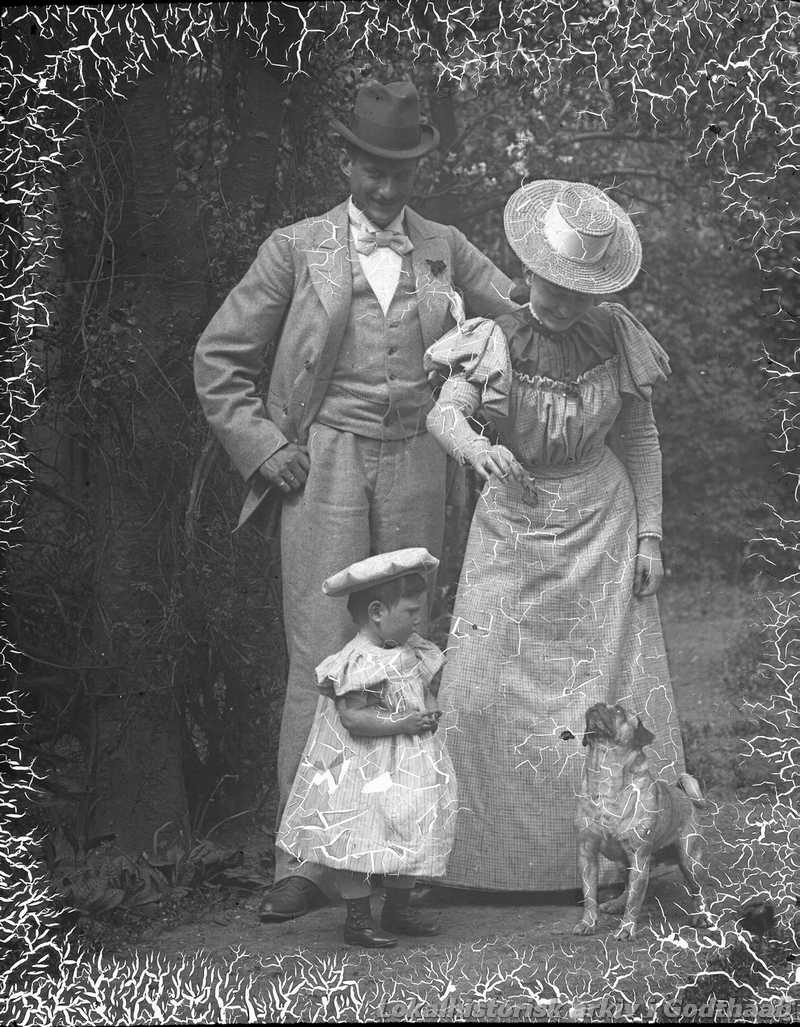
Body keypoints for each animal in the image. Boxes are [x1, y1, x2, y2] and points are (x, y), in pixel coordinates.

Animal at [572, 702, 709, 939]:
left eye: (618, 710)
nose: (597, 704)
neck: (605, 777)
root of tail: (682, 794)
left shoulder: (638, 857)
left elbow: (635, 902)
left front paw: (626, 929)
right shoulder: (587, 854)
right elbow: (590, 896)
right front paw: (588, 923)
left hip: (688, 860)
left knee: (697, 890)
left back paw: (701, 916)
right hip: (623, 863)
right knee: (628, 887)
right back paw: (616, 903)